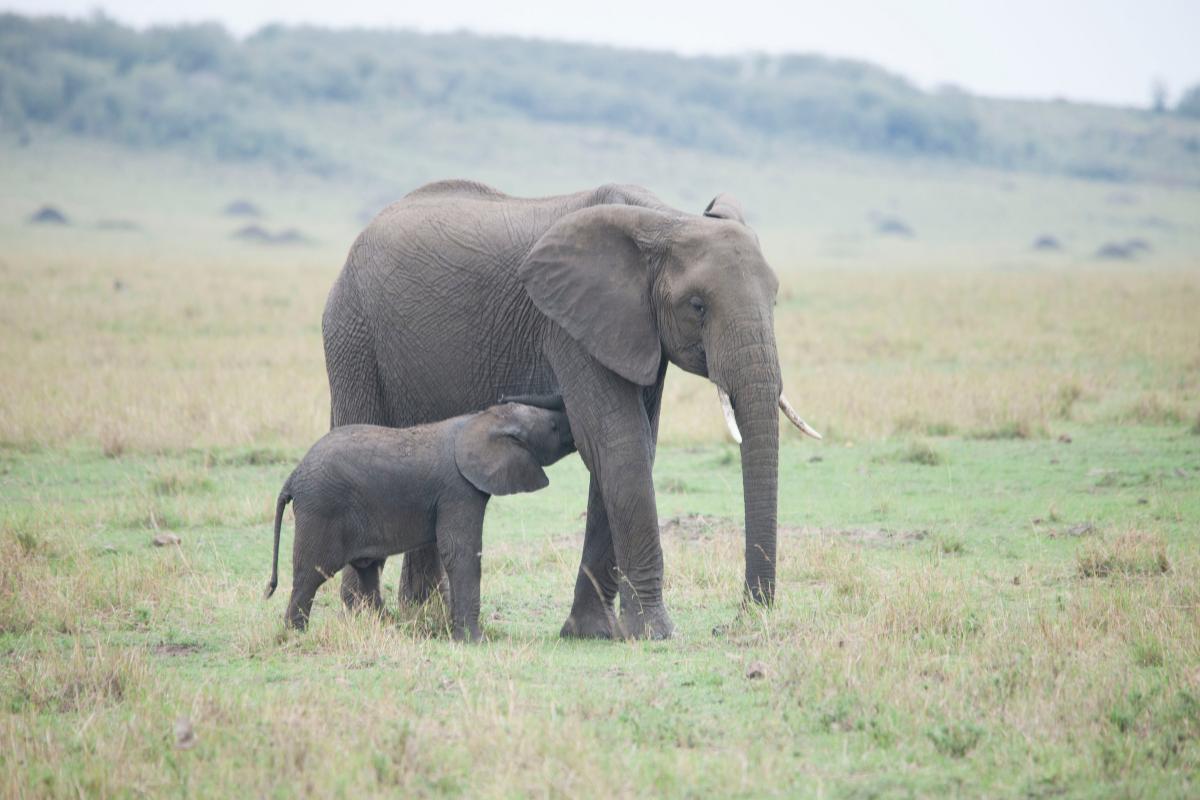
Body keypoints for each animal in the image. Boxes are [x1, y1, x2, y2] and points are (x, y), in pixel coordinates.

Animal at [268, 400, 576, 642]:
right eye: (552, 427)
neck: (484, 419)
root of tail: (293, 476)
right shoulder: (458, 489)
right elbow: (459, 551)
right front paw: (475, 641)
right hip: (321, 510)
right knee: (312, 574)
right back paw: (296, 635)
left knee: (367, 571)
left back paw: (391, 629)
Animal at [324, 179, 820, 638]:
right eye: (697, 306)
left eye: (776, 299)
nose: (738, 619)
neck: (665, 221)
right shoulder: (568, 324)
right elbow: (617, 443)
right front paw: (655, 633)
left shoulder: (632, 329)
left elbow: (630, 448)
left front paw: (591, 633)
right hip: (352, 332)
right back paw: (366, 616)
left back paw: (421, 616)